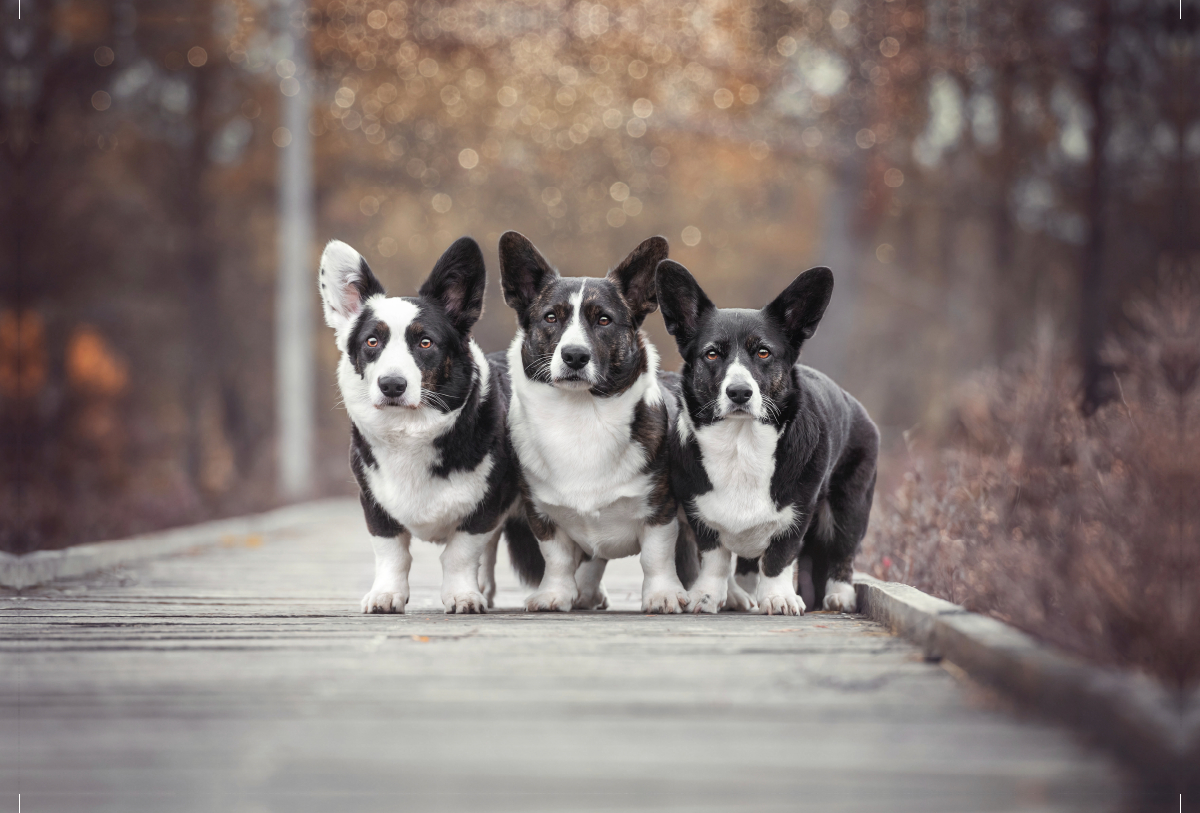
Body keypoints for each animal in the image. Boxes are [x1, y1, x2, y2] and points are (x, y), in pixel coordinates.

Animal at [319, 238, 520, 613]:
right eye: (371, 342)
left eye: (425, 342)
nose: (392, 385)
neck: (409, 430)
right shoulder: (374, 504)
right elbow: (391, 553)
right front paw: (386, 595)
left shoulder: (484, 507)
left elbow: (460, 554)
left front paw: (463, 596)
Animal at [496, 232, 696, 613]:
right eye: (550, 317)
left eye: (603, 320)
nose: (574, 356)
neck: (581, 415)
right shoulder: (542, 514)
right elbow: (557, 558)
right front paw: (555, 595)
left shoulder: (660, 509)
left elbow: (656, 556)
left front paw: (663, 595)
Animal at [657, 261, 883, 618]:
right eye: (712, 354)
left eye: (763, 353)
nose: (739, 392)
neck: (740, 444)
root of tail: (855, 405)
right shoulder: (700, 515)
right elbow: (714, 560)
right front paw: (705, 597)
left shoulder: (797, 514)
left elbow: (779, 556)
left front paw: (779, 599)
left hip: (850, 506)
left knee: (842, 552)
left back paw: (839, 596)